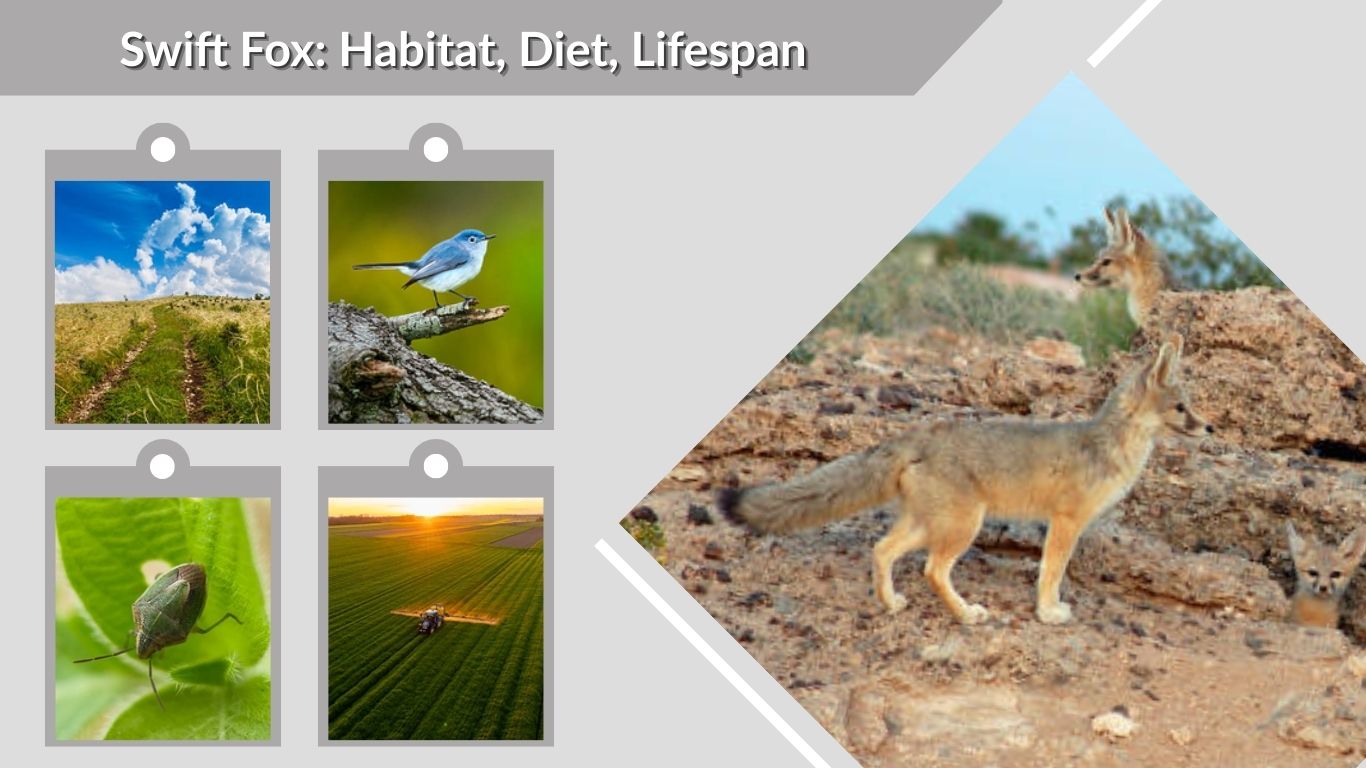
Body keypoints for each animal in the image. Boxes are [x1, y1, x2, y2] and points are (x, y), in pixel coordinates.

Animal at [719, 335, 1212, 625]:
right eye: (1181, 407)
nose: (1208, 427)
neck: (1109, 444)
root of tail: (918, 435)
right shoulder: (1066, 521)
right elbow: (1051, 571)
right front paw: (1048, 612)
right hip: (962, 527)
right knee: (933, 570)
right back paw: (966, 614)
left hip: (928, 525)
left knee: (882, 550)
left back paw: (891, 604)